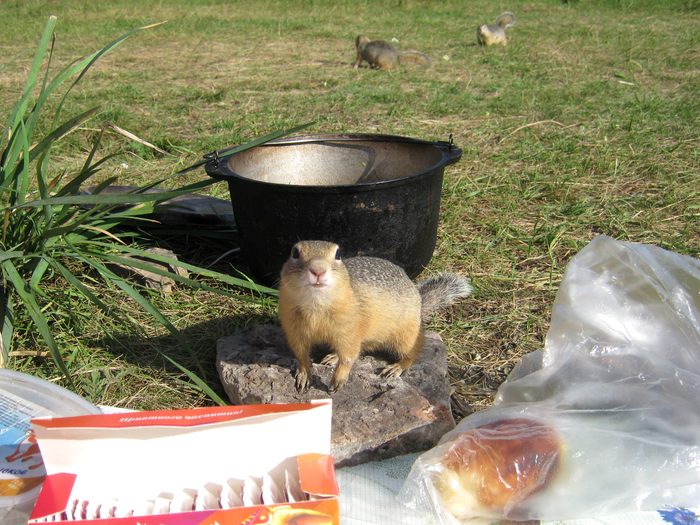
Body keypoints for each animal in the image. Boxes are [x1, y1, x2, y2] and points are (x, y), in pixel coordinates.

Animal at [278, 239, 470, 390]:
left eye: (338, 254)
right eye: (295, 252)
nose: (318, 271)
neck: (316, 304)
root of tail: (420, 305)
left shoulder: (349, 332)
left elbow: (348, 357)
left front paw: (338, 379)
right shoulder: (294, 331)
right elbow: (301, 355)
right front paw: (304, 375)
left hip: (406, 336)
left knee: (412, 352)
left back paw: (397, 367)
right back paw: (332, 356)